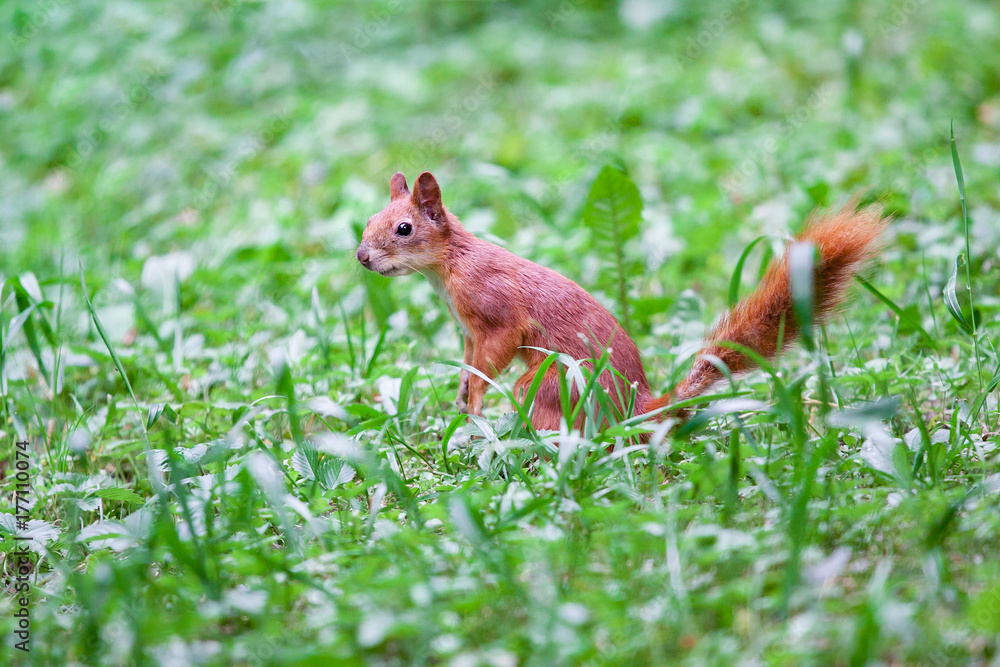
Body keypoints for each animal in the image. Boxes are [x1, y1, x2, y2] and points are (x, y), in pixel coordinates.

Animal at [356, 171, 887, 431]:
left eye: (403, 228)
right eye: (367, 221)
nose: (361, 257)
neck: (450, 265)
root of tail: (640, 406)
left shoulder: (496, 313)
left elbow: (494, 356)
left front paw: (477, 402)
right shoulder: (468, 331)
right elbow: (469, 362)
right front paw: (462, 396)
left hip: (553, 384)